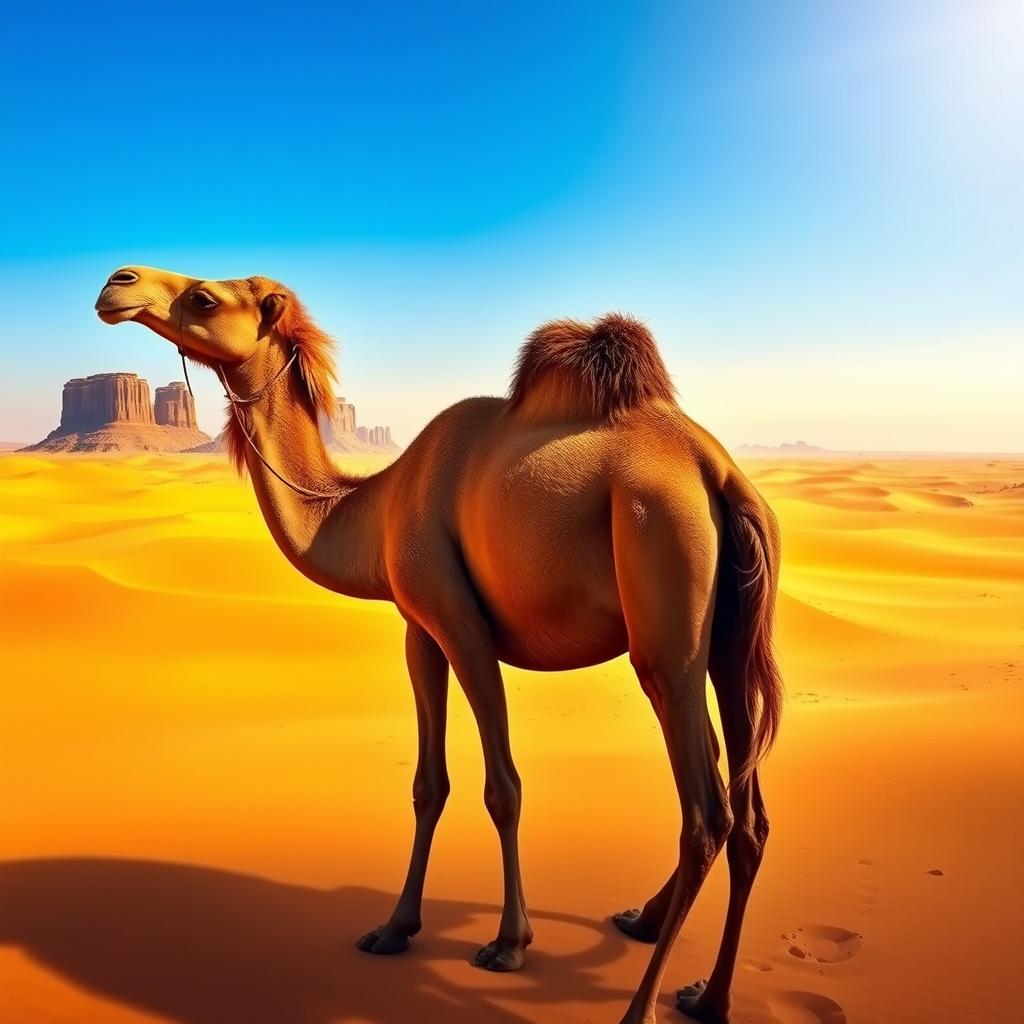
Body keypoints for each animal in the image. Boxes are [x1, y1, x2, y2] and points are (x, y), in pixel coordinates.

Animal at [95, 266, 783, 1024]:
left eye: (205, 297)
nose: (117, 284)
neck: (375, 505)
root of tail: (716, 472)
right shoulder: (417, 630)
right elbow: (428, 784)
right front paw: (395, 927)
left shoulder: (459, 622)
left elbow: (503, 786)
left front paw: (509, 944)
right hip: (727, 640)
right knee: (747, 808)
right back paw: (699, 986)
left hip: (663, 591)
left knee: (707, 812)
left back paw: (641, 1006)